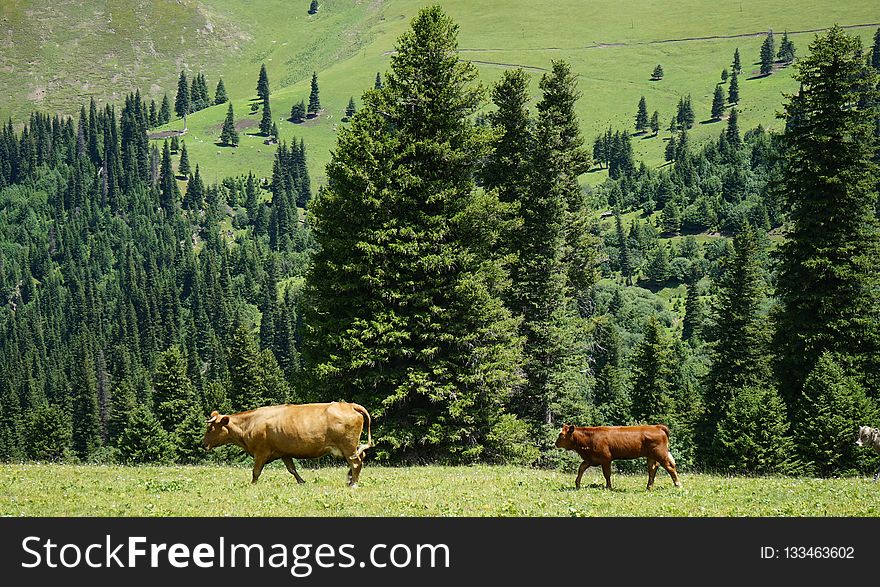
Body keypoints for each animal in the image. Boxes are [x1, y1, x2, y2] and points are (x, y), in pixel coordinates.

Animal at [203, 402, 372, 490]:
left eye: (210, 429)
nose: (203, 444)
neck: (249, 424)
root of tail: (349, 405)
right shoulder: (284, 453)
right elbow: (292, 469)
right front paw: (302, 482)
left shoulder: (261, 452)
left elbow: (256, 471)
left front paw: (253, 485)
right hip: (350, 446)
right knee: (359, 457)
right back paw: (349, 479)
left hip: (348, 445)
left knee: (355, 462)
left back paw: (353, 483)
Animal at [552, 424, 684, 490]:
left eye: (561, 435)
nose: (555, 443)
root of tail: (656, 427)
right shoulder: (590, 459)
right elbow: (581, 469)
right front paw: (577, 484)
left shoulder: (605, 459)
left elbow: (607, 474)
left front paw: (609, 487)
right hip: (651, 456)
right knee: (652, 469)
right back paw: (648, 487)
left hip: (660, 453)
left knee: (670, 466)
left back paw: (678, 484)